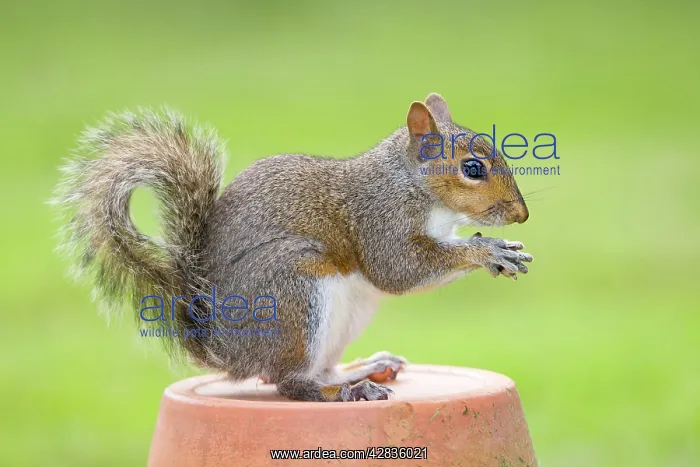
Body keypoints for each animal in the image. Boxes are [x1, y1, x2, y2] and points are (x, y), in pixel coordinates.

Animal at [53, 93, 532, 402]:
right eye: (472, 169)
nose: (521, 214)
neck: (413, 185)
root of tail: (229, 352)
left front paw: (500, 245)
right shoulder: (380, 220)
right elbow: (398, 270)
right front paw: (489, 251)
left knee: (312, 370)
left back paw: (360, 369)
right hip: (294, 291)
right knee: (287, 383)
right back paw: (347, 391)